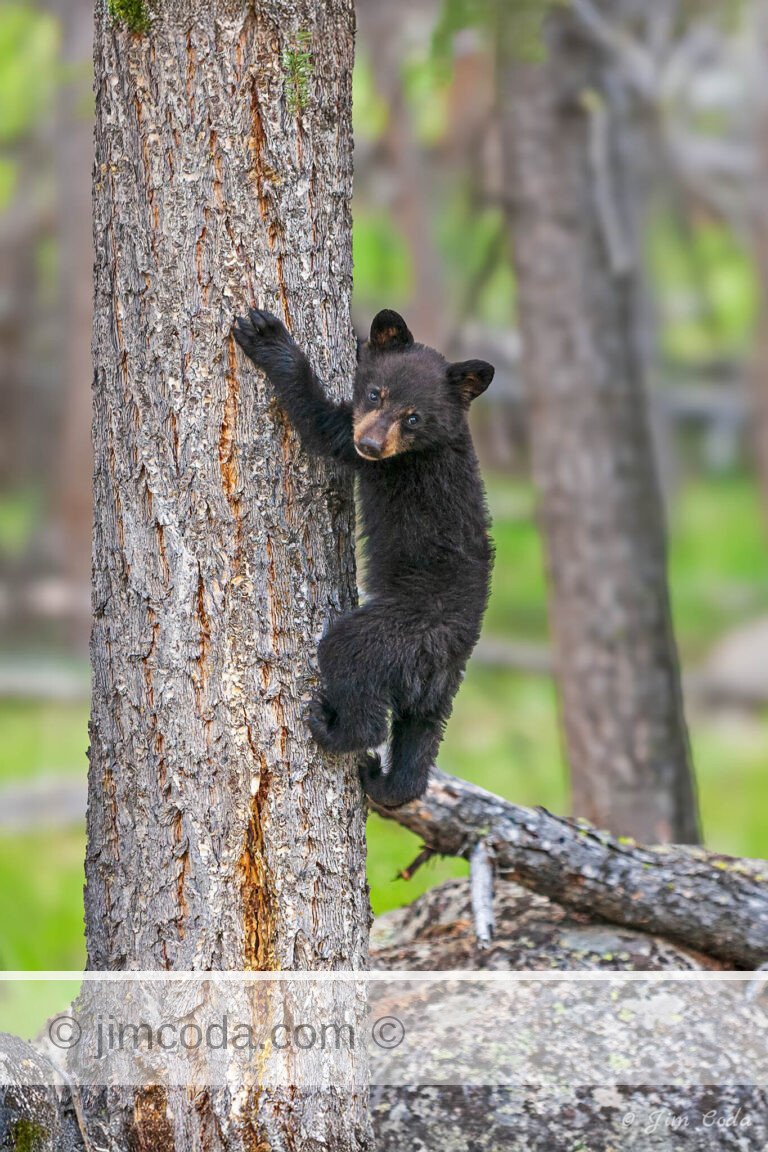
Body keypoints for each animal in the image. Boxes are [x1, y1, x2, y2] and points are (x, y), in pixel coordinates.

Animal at [233, 306, 494, 808]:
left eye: (413, 417)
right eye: (376, 393)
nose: (371, 445)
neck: (437, 442)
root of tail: (447, 653)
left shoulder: (383, 460)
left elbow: (322, 426)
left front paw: (267, 337)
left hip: (390, 635)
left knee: (354, 670)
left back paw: (334, 730)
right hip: (438, 691)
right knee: (420, 736)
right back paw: (386, 783)